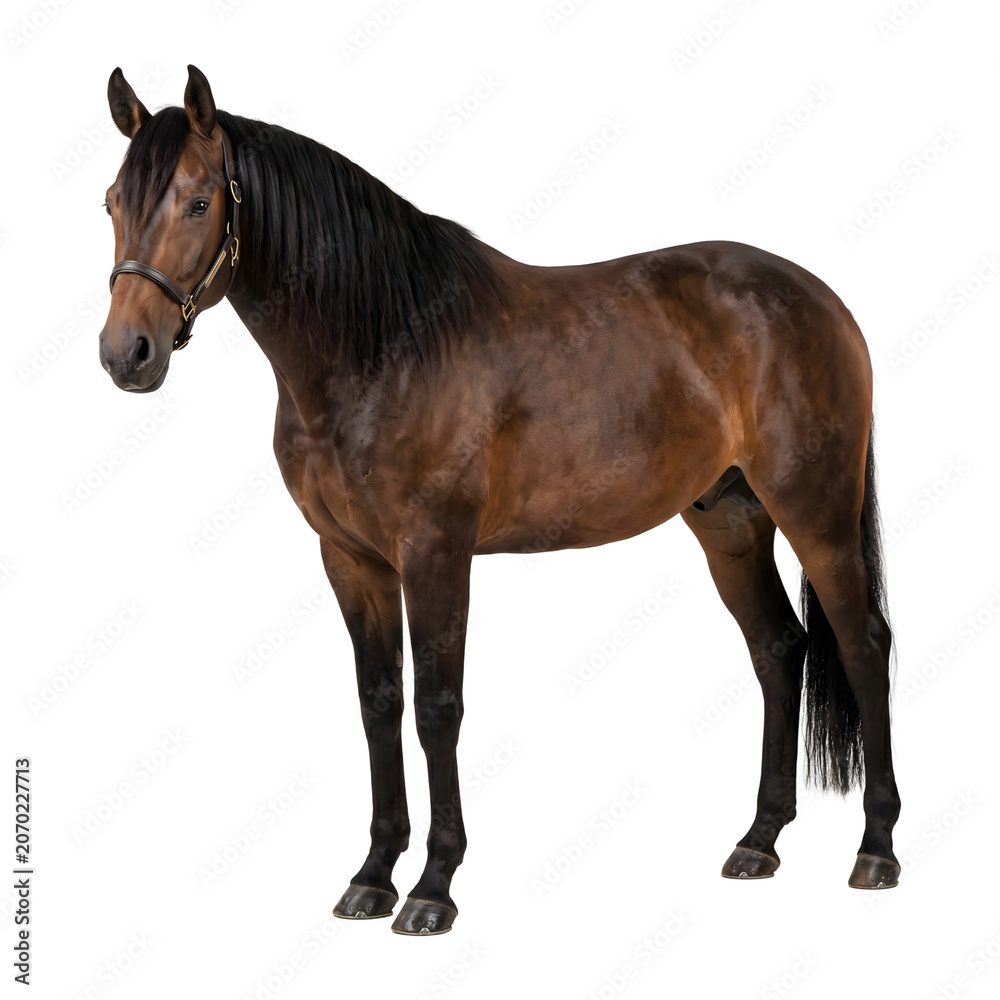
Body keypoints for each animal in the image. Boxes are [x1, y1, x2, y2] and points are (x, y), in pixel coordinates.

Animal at [98, 65, 900, 935]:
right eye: (111, 203)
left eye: (198, 202)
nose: (125, 353)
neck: (382, 344)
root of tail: (820, 300)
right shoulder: (350, 559)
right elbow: (379, 705)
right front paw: (373, 875)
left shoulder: (436, 553)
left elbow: (436, 706)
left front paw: (432, 887)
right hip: (730, 522)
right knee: (779, 649)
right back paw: (759, 841)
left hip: (816, 512)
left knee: (863, 645)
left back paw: (876, 850)